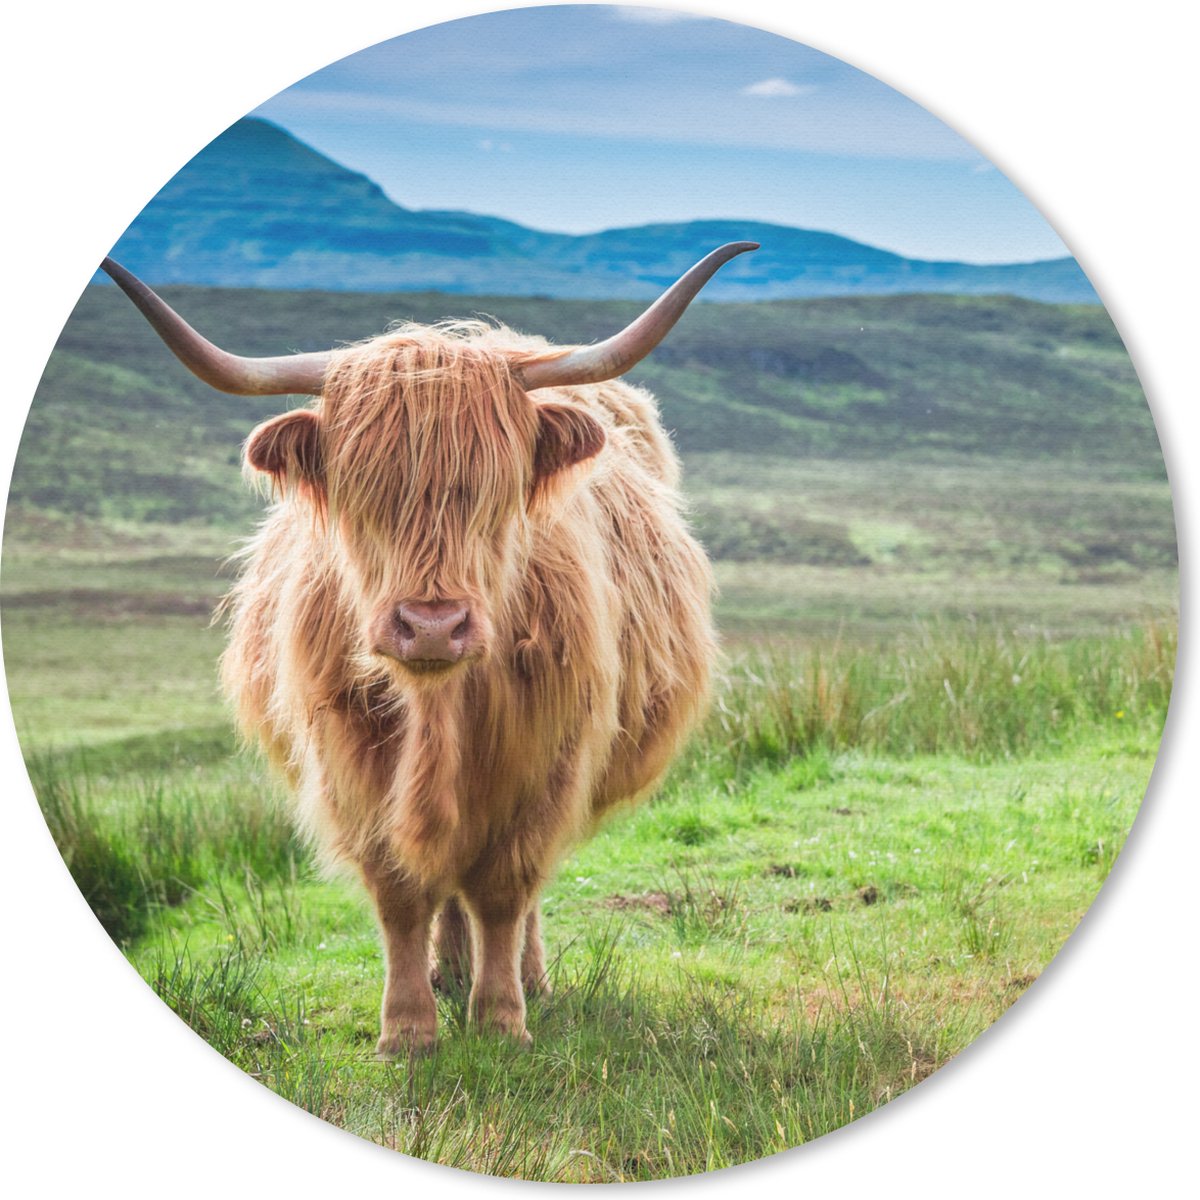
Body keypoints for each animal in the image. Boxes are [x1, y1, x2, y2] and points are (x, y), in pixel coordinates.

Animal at [101, 242, 757, 1055]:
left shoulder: (546, 759)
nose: (433, 625)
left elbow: (506, 890)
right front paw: (409, 1029)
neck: (438, 707)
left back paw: (525, 978)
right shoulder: (350, 762)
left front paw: (502, 1019)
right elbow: (401, 892)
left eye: (495, 492)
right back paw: (450, 971)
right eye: (362, 495)